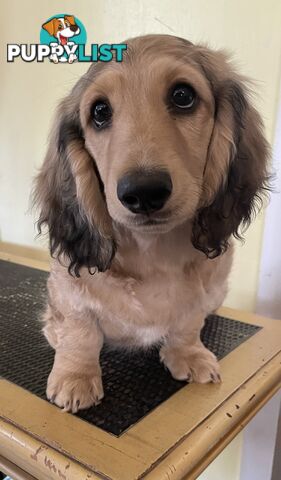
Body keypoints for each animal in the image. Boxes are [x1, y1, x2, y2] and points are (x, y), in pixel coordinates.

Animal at [34, 33, 268, 412]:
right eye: (99, 112)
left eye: (183, 95)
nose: (143, 192)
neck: (152, 253)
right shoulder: (68, 293)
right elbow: (79, 332)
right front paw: (75, 376)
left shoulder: (204, 293)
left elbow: (188, 322)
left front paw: (189, 354)